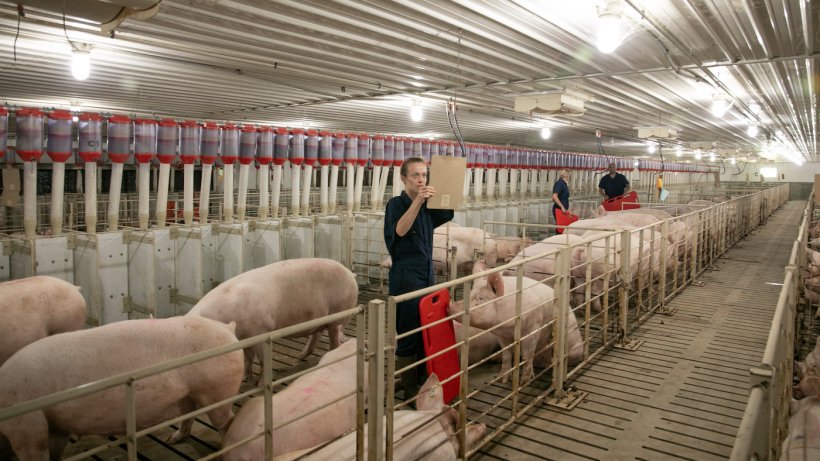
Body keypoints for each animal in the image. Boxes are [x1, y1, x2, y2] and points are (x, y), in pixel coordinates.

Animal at [0, 316, 243, 460]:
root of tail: (227, 328)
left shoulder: (28, 429)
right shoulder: (55, 426)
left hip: (218, 388)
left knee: (227, 422)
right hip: (189, 394)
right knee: (190, 415)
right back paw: (172, 439)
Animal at [191, 256, 360, 376]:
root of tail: (350, 274)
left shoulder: (260, 331)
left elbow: (262, 360)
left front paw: (259, 383)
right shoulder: (245, 338)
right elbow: (248, 358)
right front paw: (246, 377)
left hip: (339, 314)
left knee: (334, 341)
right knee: (317, 334)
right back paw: (301, 356)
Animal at [448, 260, 584, 382]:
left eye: (480, 298)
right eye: (470, 294)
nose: (450, 305)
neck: (509, 327)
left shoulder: (532, 328)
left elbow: (527, 355)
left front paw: (525, 380)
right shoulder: (502, 335)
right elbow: (506, 355)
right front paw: (501, 379)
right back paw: (495, 359)